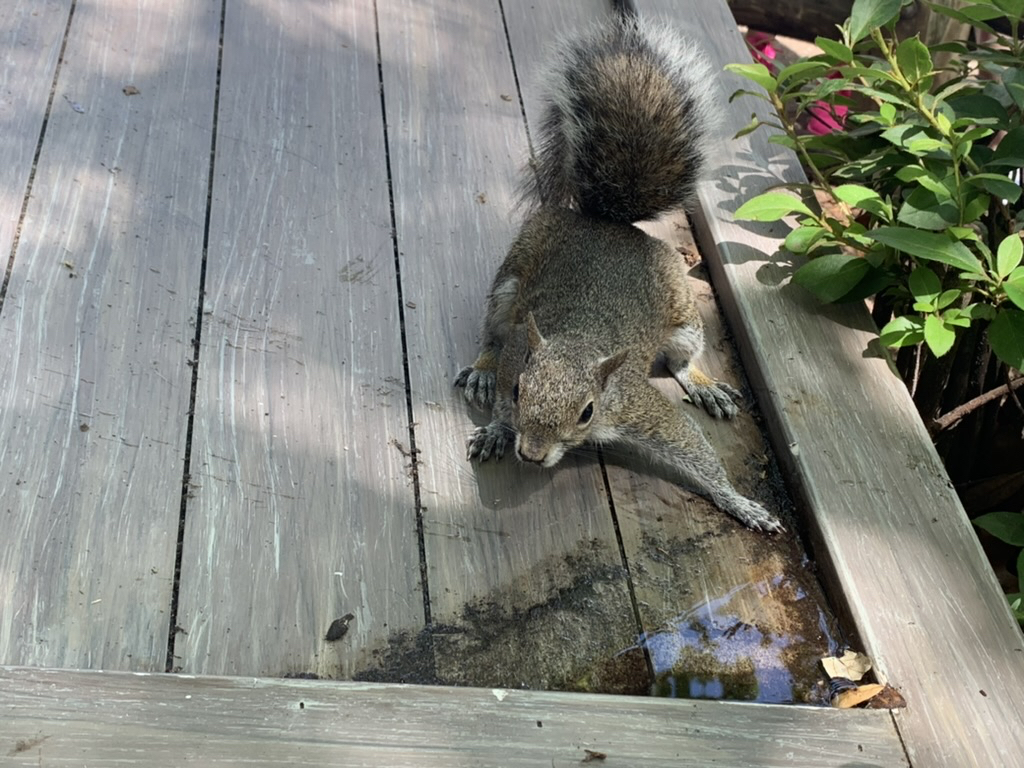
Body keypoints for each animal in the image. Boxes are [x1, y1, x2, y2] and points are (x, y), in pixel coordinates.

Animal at [452, 10, 778, 536]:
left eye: (587, 412)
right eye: (520, 390)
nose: (532, 454)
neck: (579, 340)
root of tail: (609, 224)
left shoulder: (636, 405)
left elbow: (695, 450)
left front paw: (741, 503)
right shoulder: (518, 352)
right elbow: (502, 387)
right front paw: (498, 428)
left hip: (685, 315)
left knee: (683, 361)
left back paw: (704, 385)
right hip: (509, 283)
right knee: (490, 334)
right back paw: (481, 370)